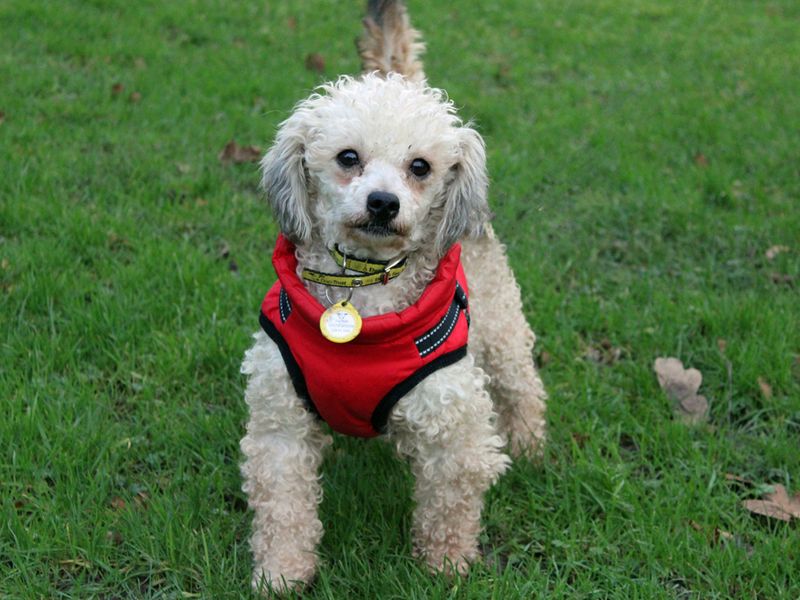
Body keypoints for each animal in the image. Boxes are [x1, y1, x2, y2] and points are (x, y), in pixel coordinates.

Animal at [238, 0, 548, 592]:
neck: (361, 292)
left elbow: (449, 510)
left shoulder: (454, 429)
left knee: (523, 388)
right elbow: (285, 510)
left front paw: (446, 568)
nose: (383, 202)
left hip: (501, 328)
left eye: (420, 166)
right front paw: (281, 574)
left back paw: (530, 445)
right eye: (348, 157)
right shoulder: (280, 423)